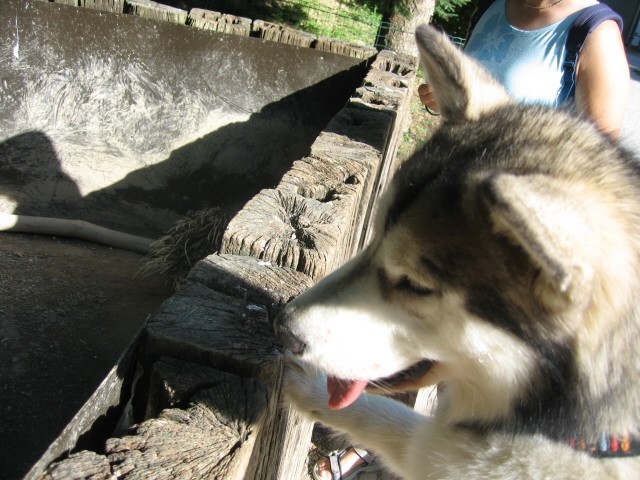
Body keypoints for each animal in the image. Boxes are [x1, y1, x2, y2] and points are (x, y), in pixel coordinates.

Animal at [274, 24, 640, 478]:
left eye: (416, 286)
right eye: (374, 237)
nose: (281, 329)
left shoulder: (451, 454)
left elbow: (402, 427)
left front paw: (309, 383)